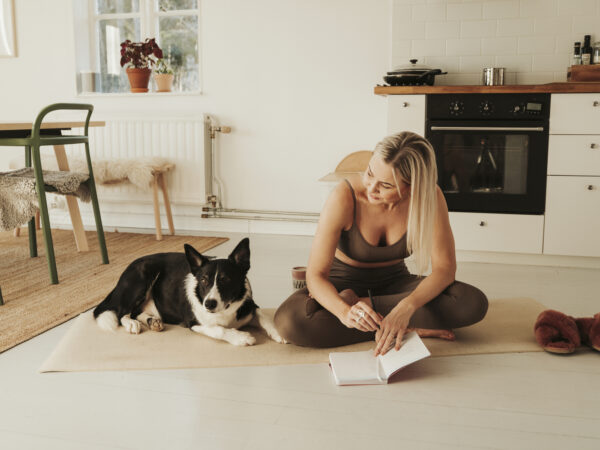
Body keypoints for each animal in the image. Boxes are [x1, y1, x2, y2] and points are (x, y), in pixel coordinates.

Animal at [92, 237, 284, 346]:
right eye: (204, 280)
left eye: (226, 279)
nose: (209, 304)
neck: (225, 311)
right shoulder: (194, 323)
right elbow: (217, 329)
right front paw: (242, 338)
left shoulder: (249, 305)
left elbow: (264, 316)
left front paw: (278, 331)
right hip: (143, 275)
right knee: (121, 312)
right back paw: (131, 323)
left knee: (136, 311)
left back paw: (152, 321)